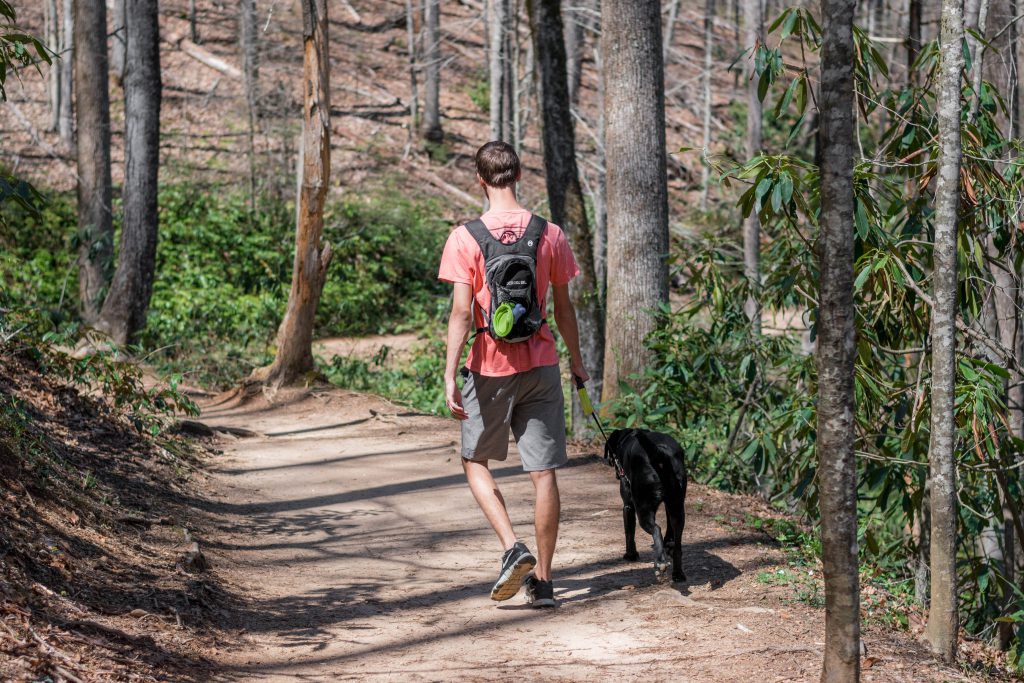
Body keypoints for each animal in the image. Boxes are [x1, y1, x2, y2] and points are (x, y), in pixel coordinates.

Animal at [606, 428, 688, 581]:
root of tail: (661, 453)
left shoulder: (628, 506)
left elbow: (629, 532)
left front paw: (631, 555)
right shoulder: (669, 505)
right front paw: (669, 543)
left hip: (643, 509)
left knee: (656, 529)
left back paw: (660, 563)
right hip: (678, 508)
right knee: (678, 545)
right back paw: (678, 573)